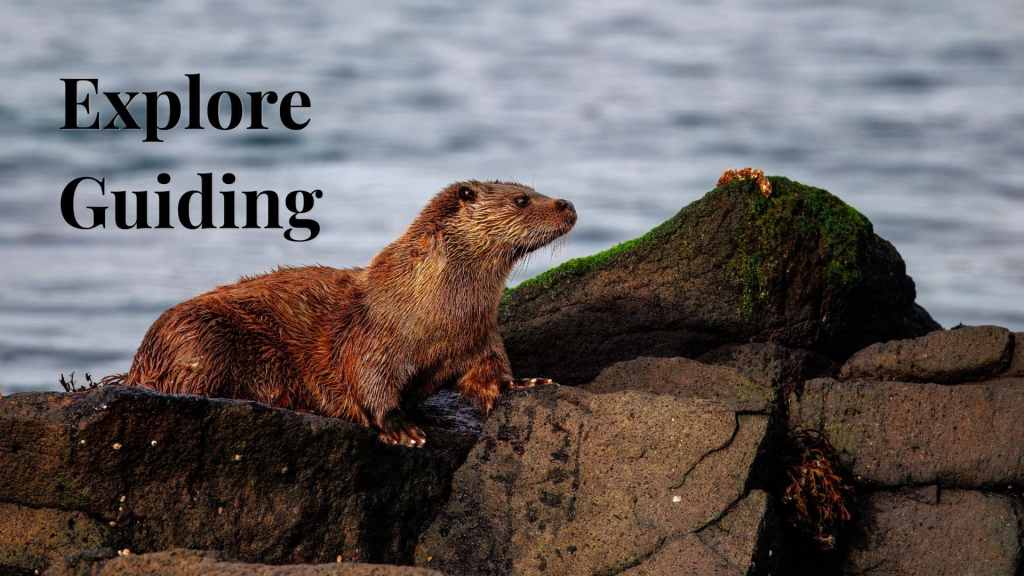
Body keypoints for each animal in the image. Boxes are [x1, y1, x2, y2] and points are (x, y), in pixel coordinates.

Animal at [116, 181, 576, 447]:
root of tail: (140, 361)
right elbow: (369, 381)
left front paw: (523, 383)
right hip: (199, 338)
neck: (436, 312)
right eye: (522, 199)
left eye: (533, 188)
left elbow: (490, 372)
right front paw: (400, 428)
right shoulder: (372, 338)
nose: (567, 203)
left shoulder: (480, 337)